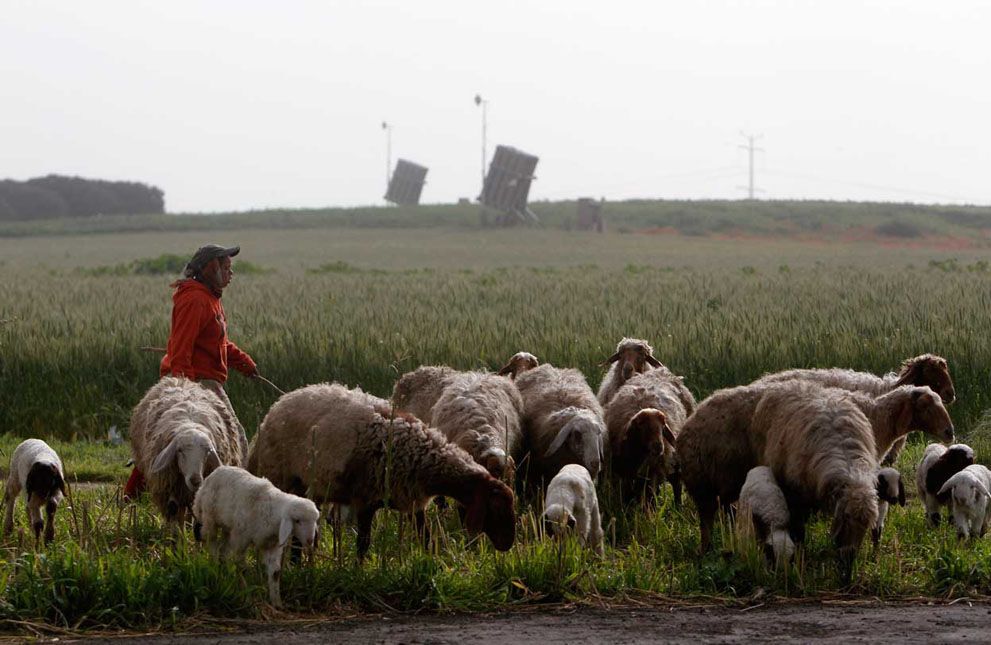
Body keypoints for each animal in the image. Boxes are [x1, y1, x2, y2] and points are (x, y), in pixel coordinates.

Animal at [129, 374, 243, 520]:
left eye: (207, 452)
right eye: (180, 451)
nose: (196, 481)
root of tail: (179, 379)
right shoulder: (168, 491)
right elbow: (174, 516)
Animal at [192, 466, 320, 608]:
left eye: (315, 520)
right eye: (297, 521)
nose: (310, 540)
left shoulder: (273, 545)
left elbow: (275, 572)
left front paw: (276, 602)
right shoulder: (241, 539)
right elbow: (241, 568)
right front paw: (246, 597)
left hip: (228, 528)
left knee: (223, 551)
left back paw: (223, 573)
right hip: (210, 519)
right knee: (212, 543)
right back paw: (216, 570)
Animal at [248, 382, 516, 560]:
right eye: (496, 509)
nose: (508, 545)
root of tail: (277, 406)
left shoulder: (412, 502)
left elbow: (425, 537)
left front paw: (432, 563)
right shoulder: (365, 500)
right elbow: (363, 544)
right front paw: (358, 571)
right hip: (283, 478)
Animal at [680, 382, 952, 552]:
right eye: (927, 406)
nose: (950, 432)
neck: (877, 417)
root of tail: (696, 413)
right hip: (702, 485)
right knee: (706, 521)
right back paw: (707, 550)